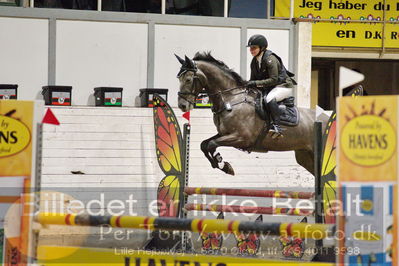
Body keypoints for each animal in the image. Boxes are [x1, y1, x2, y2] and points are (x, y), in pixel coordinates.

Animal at [176, 52, 328, 177]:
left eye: (188, 79)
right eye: (179, 79)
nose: (182, 106)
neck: (230, 99)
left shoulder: (242, 137)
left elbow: (211, 144)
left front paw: (223, 165)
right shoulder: (224, 133)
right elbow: (204, 144)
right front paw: (223, 166)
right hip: (305, 156)